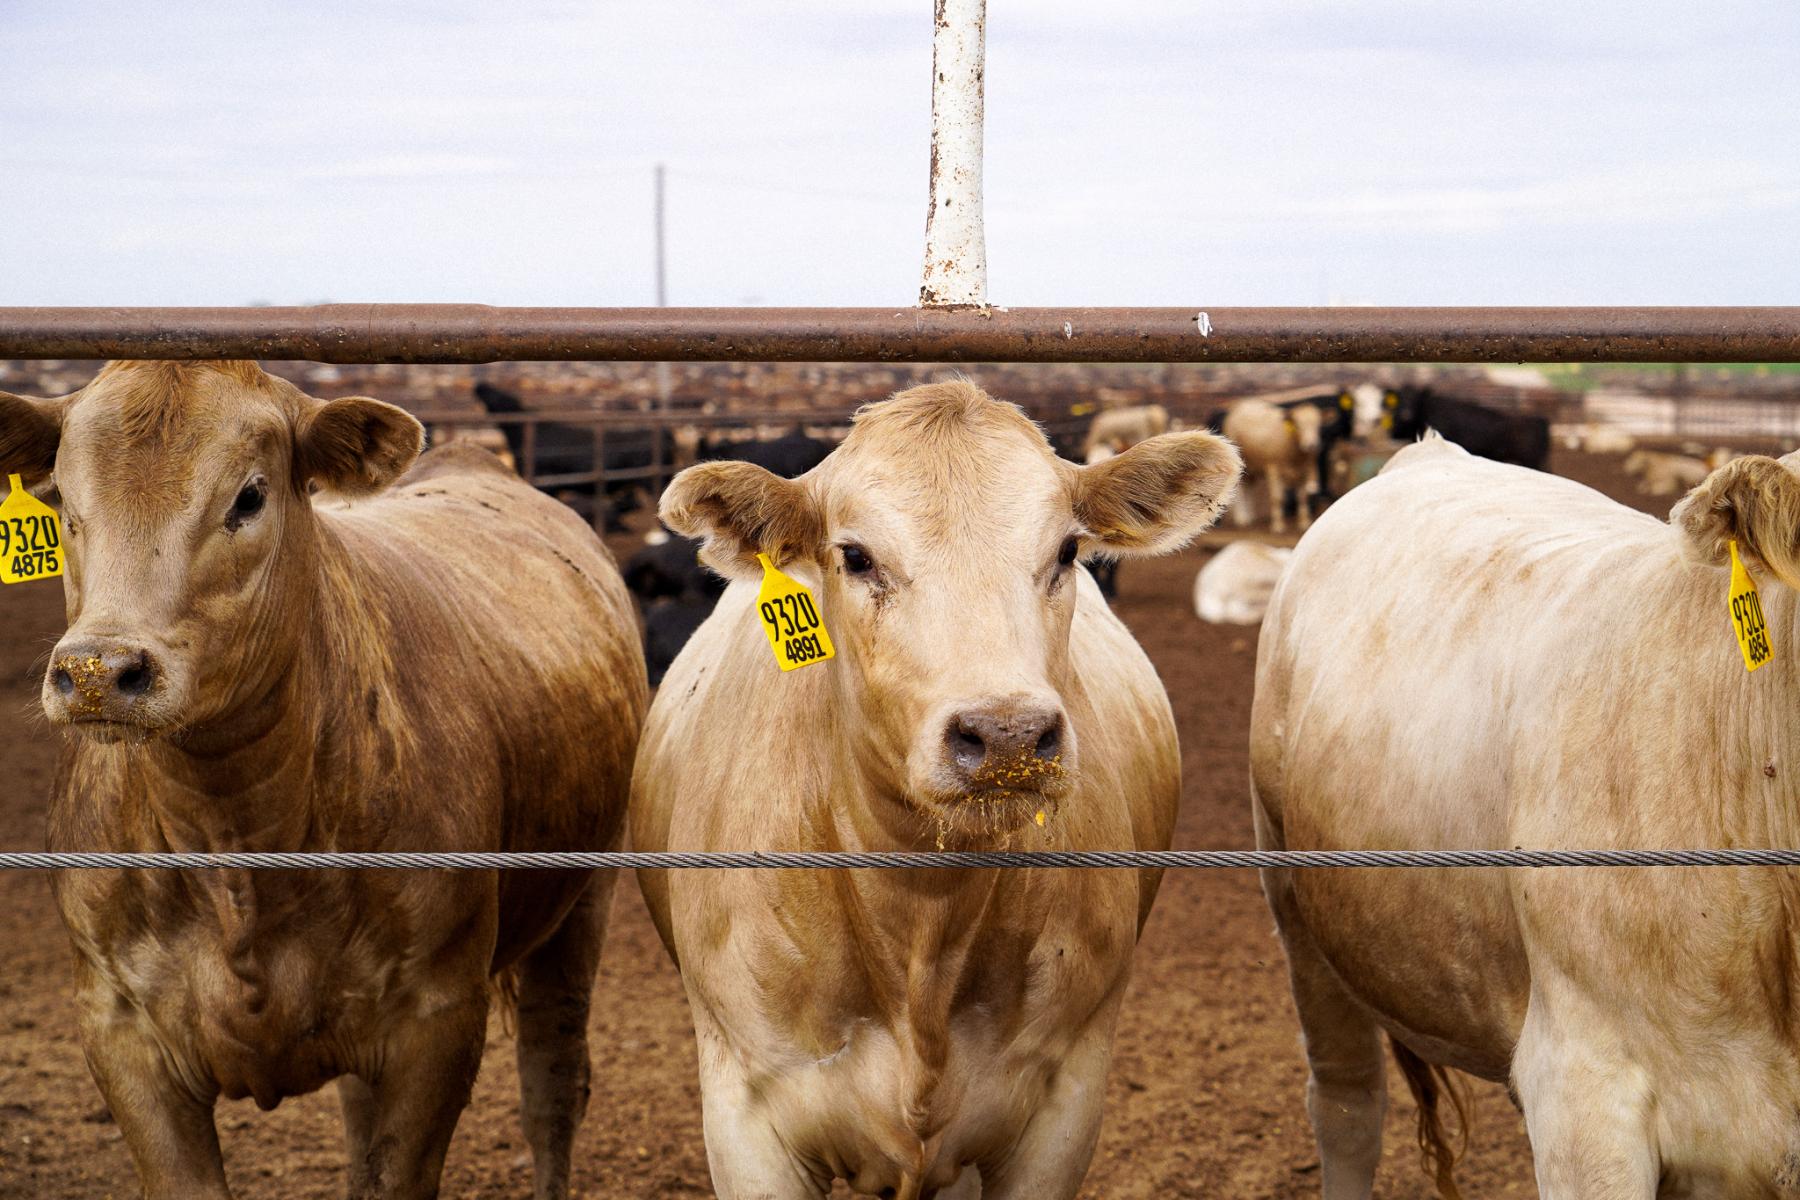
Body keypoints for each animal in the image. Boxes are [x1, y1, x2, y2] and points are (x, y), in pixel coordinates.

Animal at [10, 361, 646, 1200]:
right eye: (64, 502)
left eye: (249, 496)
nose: (96, 673)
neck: (235, 841)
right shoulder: (122, 1035)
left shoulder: (436, 1023)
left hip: (581, 904)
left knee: (553, 1082)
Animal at [631, 380, 1241, 1200]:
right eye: (855, 556)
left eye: (1068, 550)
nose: (1008, 736)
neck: (921, 919)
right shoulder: (746, 1118)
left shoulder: (1065, 1105)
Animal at [1223, 398, 1323, 533]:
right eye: (1298, 425)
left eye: (1318, 425)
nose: (1312, 445)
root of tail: (1244, 403)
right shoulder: (1274, 469)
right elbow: (1277, 498)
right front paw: (1278, 526)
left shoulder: (1304, 471)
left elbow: (1303, 497)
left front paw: (1304, 523)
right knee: (1239, 489)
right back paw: (1242, 519)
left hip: (1252, 465)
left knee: (1249, 487)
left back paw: (1251, 517)